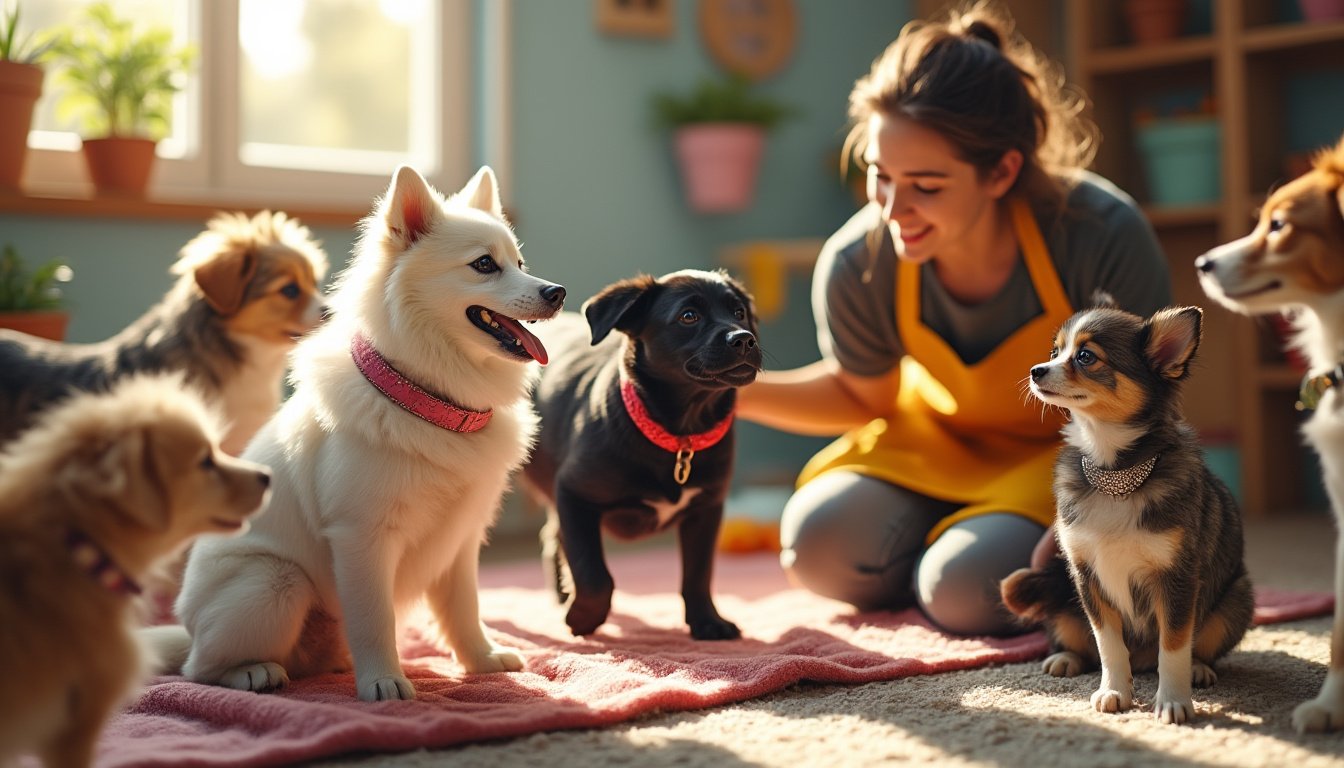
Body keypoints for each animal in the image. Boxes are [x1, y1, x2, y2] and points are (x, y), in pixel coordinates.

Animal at [155, 164, 567, 704]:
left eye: (519, 262)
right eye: (484, 265)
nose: (557, 292)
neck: (431, 403)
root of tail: (187, 625)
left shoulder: (460, 540)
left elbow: (463, 609)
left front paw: (481, 662)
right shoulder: (361, 537)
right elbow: (375, 619)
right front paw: (383, 682)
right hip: (274, 582)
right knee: (196, 667)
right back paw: (250, 672)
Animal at [518, 267, 763, 640]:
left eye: (739, 312)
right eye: (688, 316)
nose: (745, 339)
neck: (679, 436)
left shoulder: (706, 510)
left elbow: (698, 573)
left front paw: (707, 621)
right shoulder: (573, 494)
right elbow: (594, 574)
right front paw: (583, 618)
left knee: (554, 535)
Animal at [1005, 294, 1252, 726]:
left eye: (1085, 356)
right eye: (1055, 352)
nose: (1036, 371)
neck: (1113, 471)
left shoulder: (1177, 579)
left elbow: (1174, 646)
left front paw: (1173, 701)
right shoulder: (1086, 575)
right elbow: (1108, 644)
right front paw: (1115, 691)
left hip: (1236, 599)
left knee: (1190, 648)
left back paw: (1199, 669)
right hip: (1064, 604)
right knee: (1083, 642)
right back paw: (1066, 658)